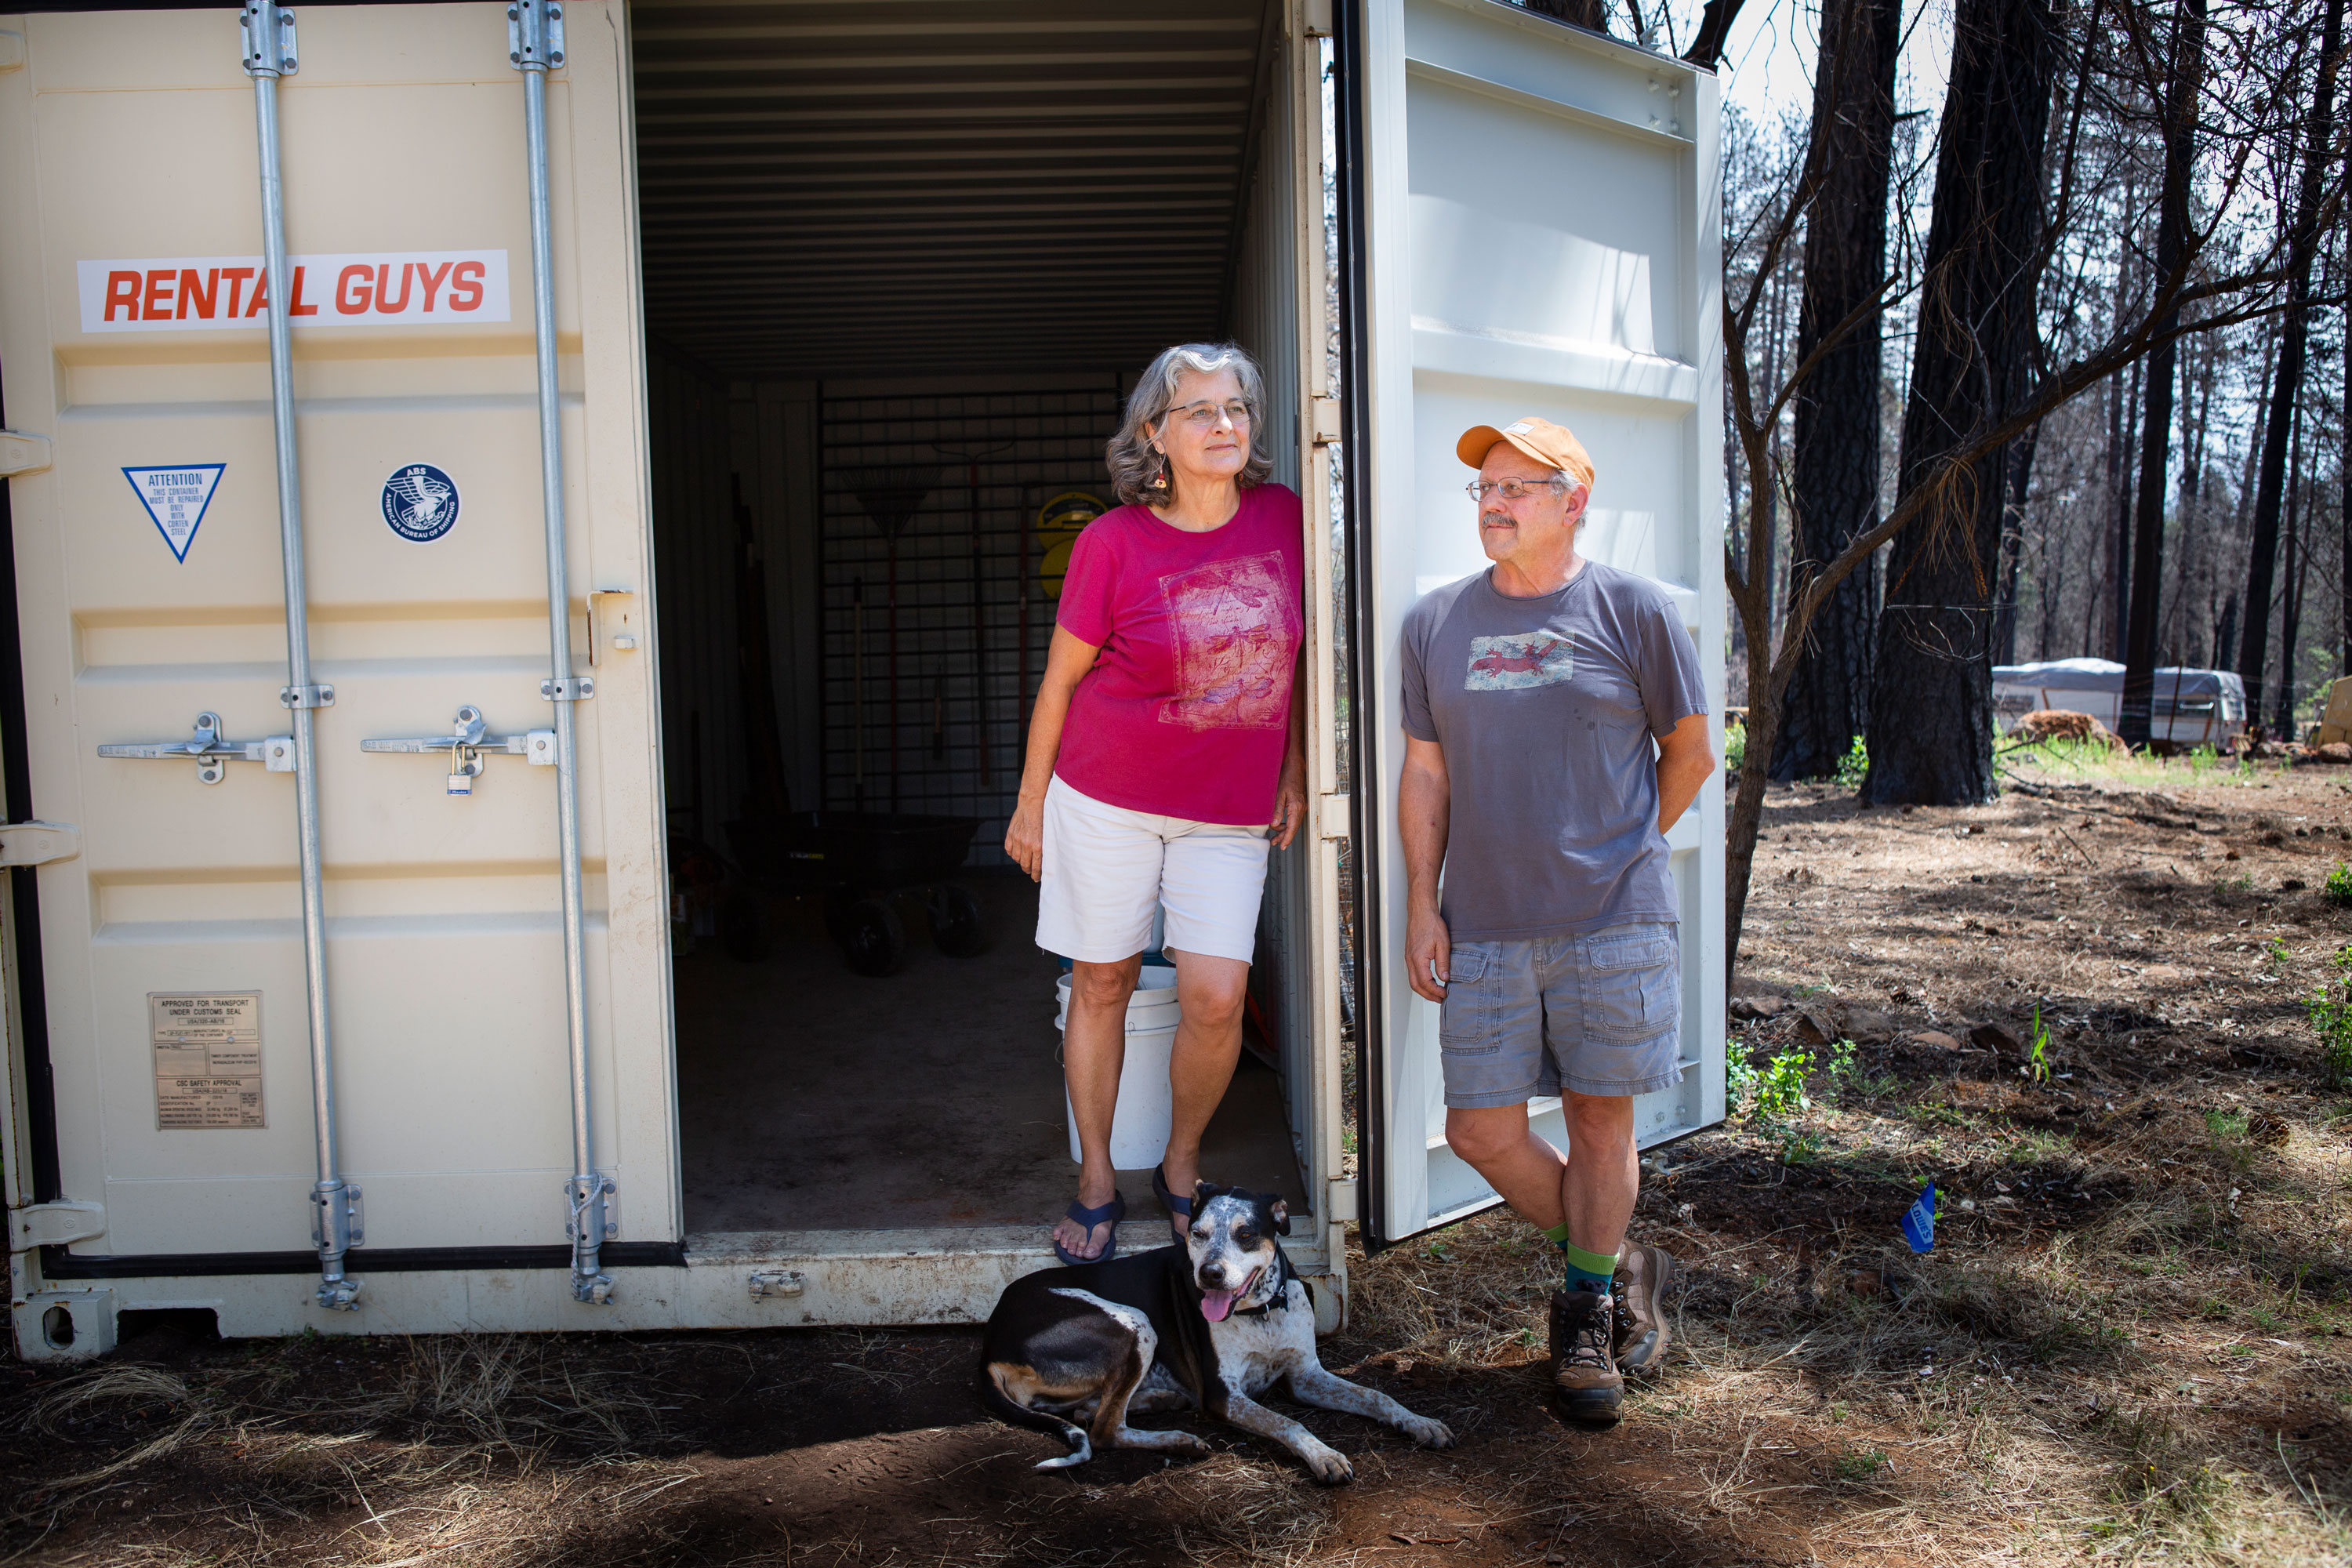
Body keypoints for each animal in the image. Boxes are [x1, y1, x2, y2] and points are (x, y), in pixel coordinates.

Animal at [974, 1189, 1449, 1486]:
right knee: (1105, 1430)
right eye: (1196, 1234)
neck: (1262, 1312)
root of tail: (991, 1341)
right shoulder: (1224, 1395)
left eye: (1246, 1233)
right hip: (1135, 1323)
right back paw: (1179, 1438)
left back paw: (1159, 1400)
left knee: (1088, 1412)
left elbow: (1376, 1395)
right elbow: (1287, 1422)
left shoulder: (1306, 1377)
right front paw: (1324, 1456)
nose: (1210, 1274)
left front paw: (1419, 1422)